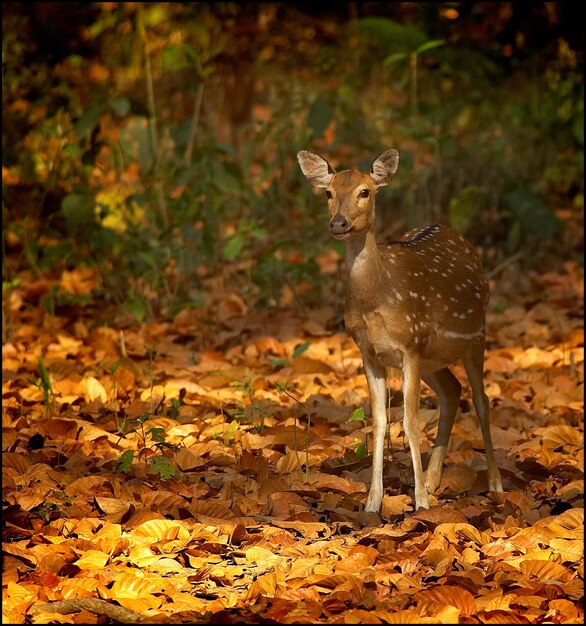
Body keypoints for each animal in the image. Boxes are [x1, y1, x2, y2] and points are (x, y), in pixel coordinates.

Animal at [296, 149, 502, 510]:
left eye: (365, 191)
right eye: (328, 193)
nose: (339, 223)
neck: (378, 297)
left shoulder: (410, 344)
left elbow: (410, 420)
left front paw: (419, 503)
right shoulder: (370, 352)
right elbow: (379, 421)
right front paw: (372, 502)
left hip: (475, 333)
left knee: (481, 398)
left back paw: (494, 484)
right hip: (433, 357)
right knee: (452, 390)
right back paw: (434, 481)